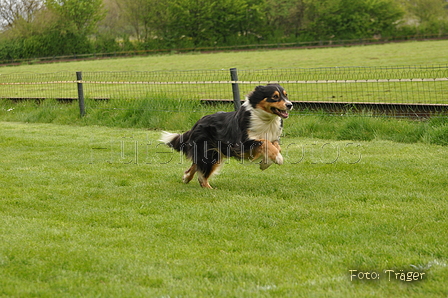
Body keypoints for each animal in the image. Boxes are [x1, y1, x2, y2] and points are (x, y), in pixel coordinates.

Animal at [160, 84, 290, 189]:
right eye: (275, 96)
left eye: (286, 95)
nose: (290, 105)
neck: (265, 119)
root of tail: (198, 122)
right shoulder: (242, 144)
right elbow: (265, 142)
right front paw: (278, 159)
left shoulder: (273, 138)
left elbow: (276, 147)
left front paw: (265, 163)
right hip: (210, 153)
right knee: (201, 175)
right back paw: (210, 189)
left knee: (196, 165)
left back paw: (186, 178)